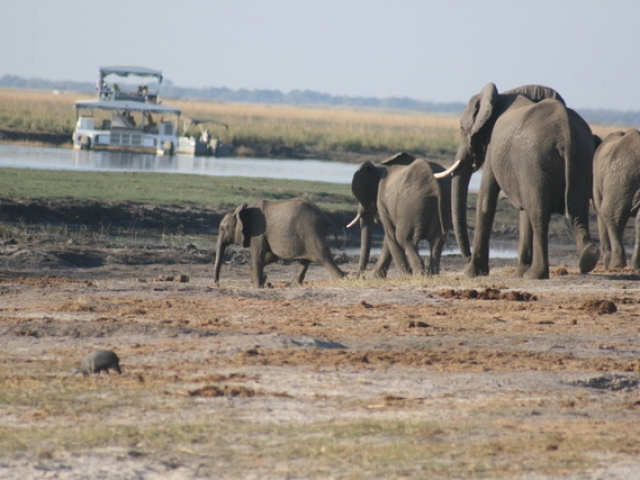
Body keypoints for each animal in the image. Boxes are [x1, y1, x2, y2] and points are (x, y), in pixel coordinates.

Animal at [214, 198, 344, 286]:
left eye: (222, 228)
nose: (217, 284)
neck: (245, 210)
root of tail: (324, 216)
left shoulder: (258, 229)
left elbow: (258, 256)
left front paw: (256, 286)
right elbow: (271, 256)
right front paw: (262, 280)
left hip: (311, 231)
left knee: (322, 256)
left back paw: (343, 279)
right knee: (306, 260)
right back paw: (292, 285)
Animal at [444, 81, 600, 278]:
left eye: (462, 129)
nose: (467, 255)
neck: (501, 96)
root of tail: (566, 135)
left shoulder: (494, 146)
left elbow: (486, 201)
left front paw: (472, 272)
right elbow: (522, 209)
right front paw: (518, 272)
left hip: (535, 159)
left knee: (539, 212)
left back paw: (535, 274)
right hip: (582, 158)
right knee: (576, 208)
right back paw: (588, 258)